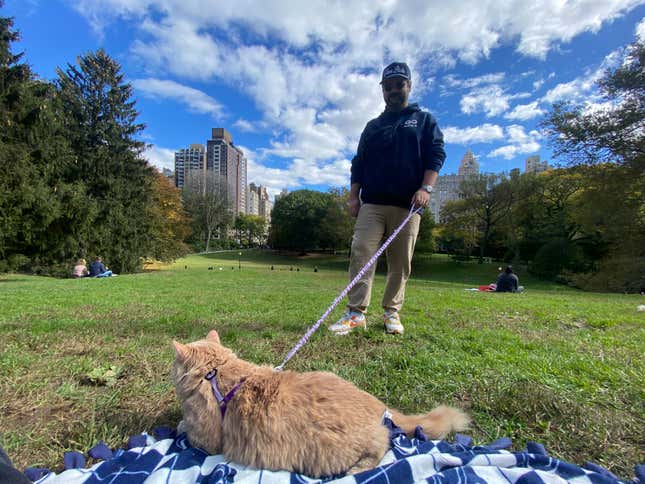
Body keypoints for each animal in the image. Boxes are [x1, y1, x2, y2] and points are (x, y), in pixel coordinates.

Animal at [174, 328, 470, 476]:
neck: (216, 373)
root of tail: (378, 404)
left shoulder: (207, 441)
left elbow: (186, 430)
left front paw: (179, 425)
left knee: (384, 445)